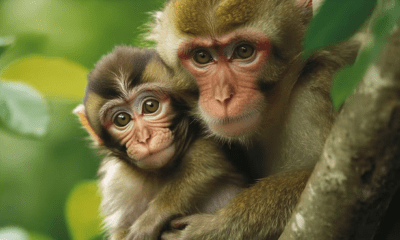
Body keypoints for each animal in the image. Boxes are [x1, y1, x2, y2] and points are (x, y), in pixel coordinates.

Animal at [73, 46, 245, 239]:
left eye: (150, 106)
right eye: (122, 119)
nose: (144, 138)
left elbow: (206, 161)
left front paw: (154, 215)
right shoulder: (119, 182)